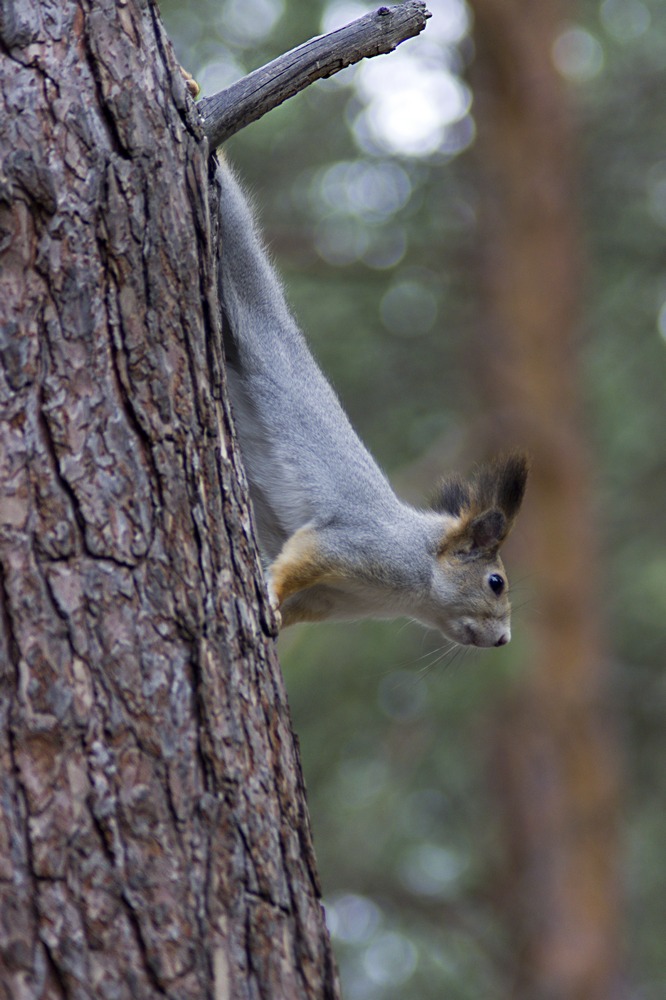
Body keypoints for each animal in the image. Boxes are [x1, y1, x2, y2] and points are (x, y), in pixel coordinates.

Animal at [215, 161, 528, 648]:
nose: (503, 640)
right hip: (250, 322)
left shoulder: (326, 600)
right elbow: (299, 556)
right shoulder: (355, 544)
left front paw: (276, 619)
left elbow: (297, 599)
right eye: (495, 582)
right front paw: (268, 593)